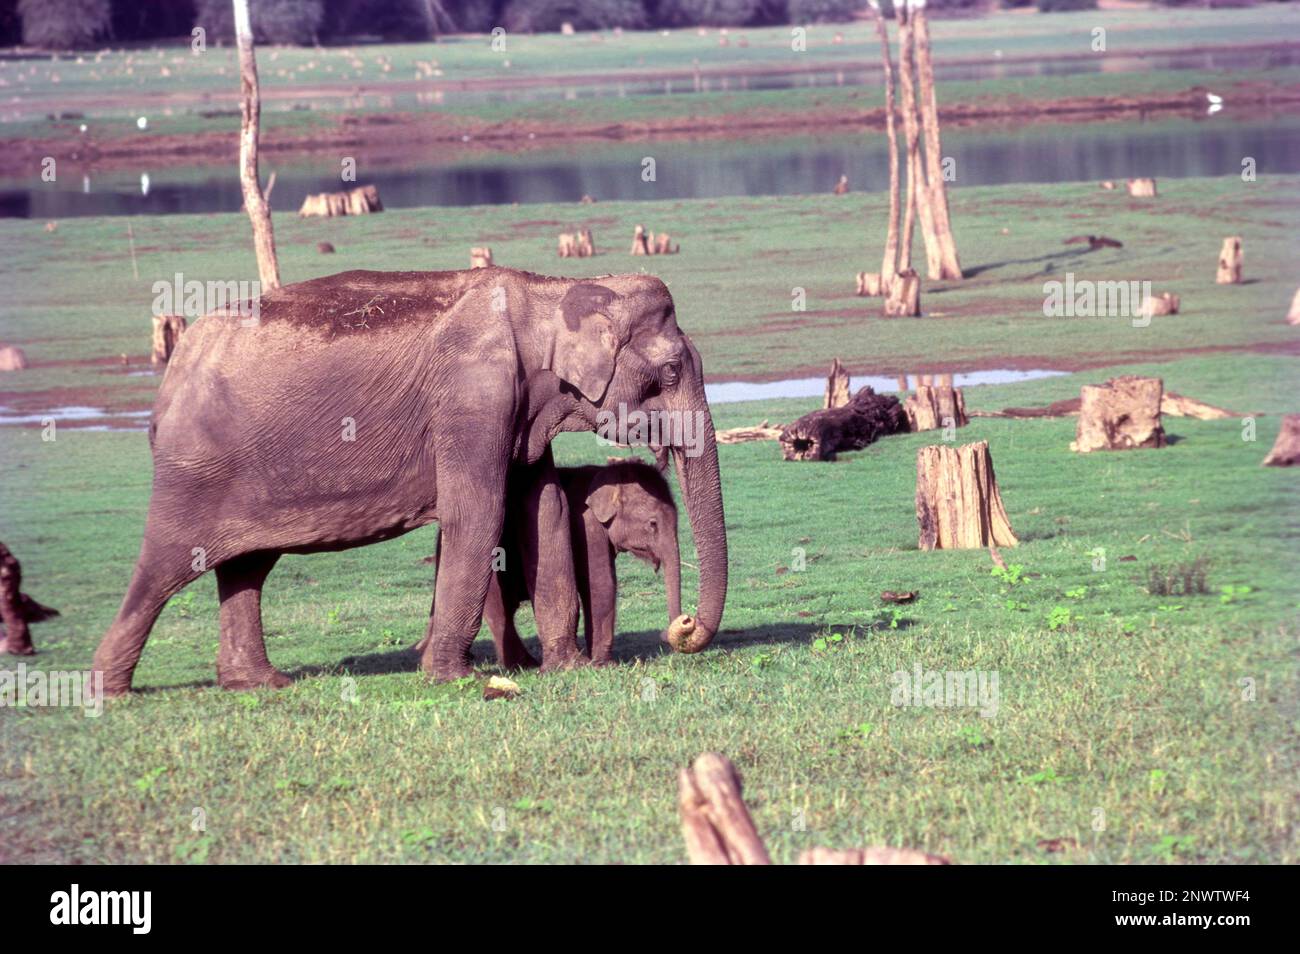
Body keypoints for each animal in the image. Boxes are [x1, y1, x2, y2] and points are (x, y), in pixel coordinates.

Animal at [418, 460, 681, 670]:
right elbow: (600, 583)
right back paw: (523, 665)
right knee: (499, 611)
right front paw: (605, 665)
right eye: (653, 523)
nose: (667, 633)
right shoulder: (586, 526)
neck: (603, 473)